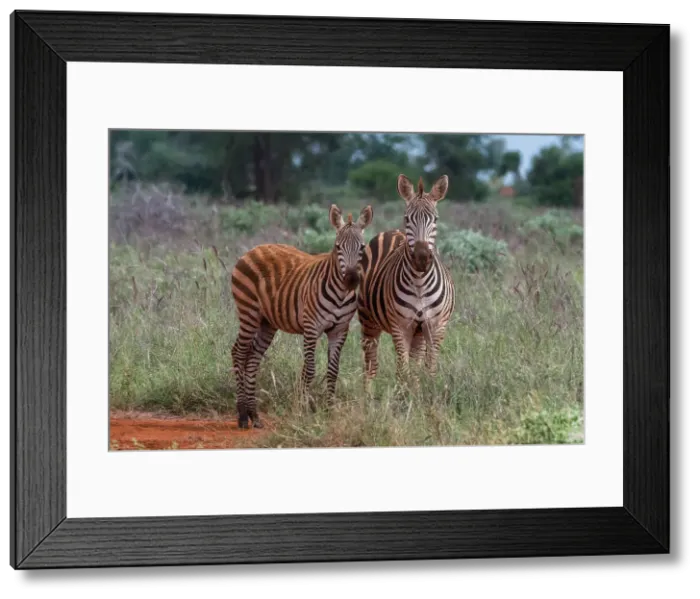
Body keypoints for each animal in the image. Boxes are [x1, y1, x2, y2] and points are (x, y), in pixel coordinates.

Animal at [230, 203, 373, 429]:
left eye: (362, 248)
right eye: (337, 247)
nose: (351, 280)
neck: (341, 294)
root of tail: (255, 248)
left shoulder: (340, 330)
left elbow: (333, 371)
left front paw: (329, 411)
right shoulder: (311, 327)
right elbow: (310, 370)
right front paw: (303, 411)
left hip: (266, 322)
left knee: (252, 358)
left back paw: (254, 415)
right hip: (248, 313)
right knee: (239, 353)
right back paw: (243, 415)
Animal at [357, 173, 455, 390]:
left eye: (435, 219)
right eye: (407, 218)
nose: (421, 258)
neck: (420, 284)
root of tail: (392, 231)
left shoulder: (435, 326)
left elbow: (428, 369)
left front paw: (427, 394)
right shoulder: (400, 327)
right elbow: (403, 371)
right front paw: (403, 396)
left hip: (418, 331)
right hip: (368, 321)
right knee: (370, 365)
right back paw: (367, 395)